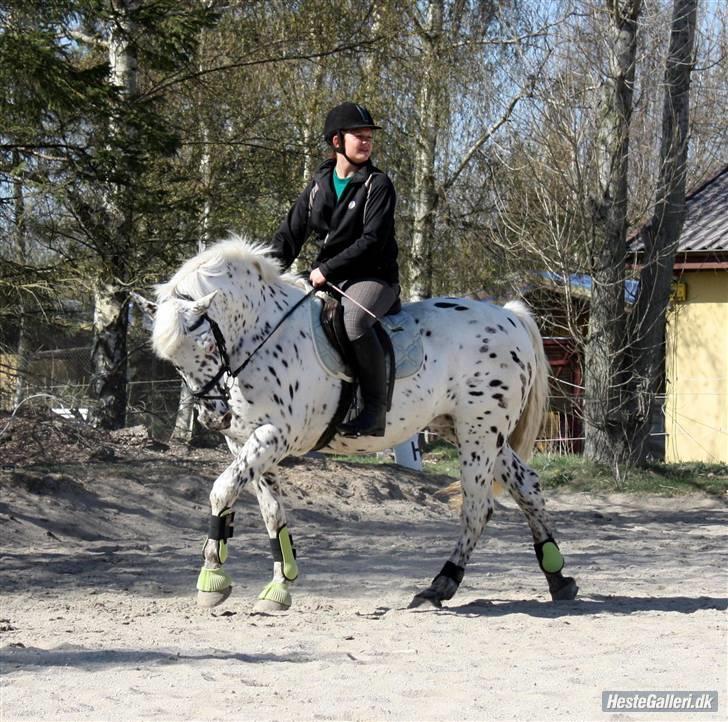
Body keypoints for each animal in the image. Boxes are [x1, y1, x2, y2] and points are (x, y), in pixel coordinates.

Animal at [134, 236, 576, 608]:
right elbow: (271, 511)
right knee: (527, 486)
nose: (214, 416)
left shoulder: (274, 436)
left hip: (479, 434)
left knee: (478, 507)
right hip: (470, 430)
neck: (263, 334)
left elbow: (221, 490)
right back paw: (558, 578)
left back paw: (440, 585)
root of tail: (508, 316)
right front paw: (280, 585)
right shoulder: (246, 442)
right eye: (173, 360)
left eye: (209, 345)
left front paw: (211, 577)